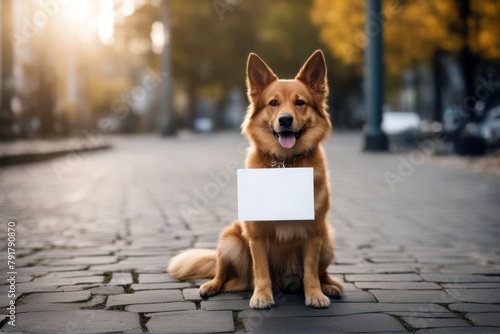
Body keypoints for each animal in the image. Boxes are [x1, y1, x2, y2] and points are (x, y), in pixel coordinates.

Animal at [169, 50, 344, 310]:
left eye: (300, 102)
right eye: (273, 103)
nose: (285, 119)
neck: (285, 163)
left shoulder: (314, 233)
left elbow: (311, 271)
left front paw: (314, 293)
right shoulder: (256, 235)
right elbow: (261, 270)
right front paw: (262, 295)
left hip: (327, 240)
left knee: (321, 272)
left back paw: (330, 285)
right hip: (230, 241)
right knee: (222, 273)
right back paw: (211, 285)